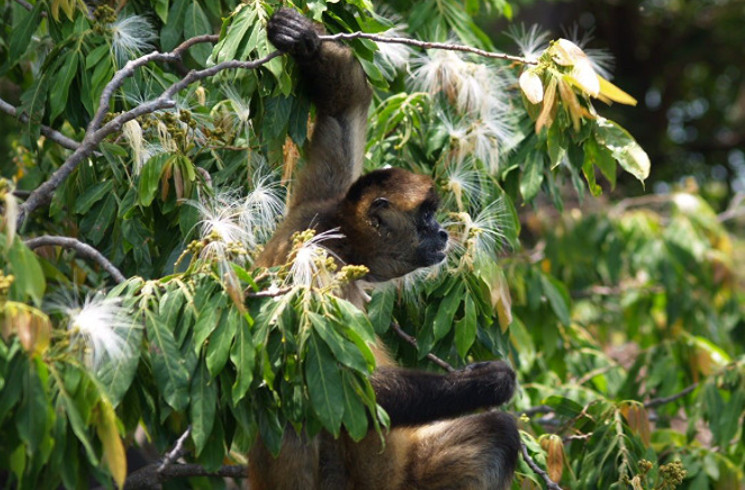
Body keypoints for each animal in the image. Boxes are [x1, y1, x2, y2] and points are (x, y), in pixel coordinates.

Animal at [250, 8, 516, 490]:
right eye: (426, 217)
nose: (443, 235)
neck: (336, 234)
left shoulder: (318, 201)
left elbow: (343, 109)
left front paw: (301, 39)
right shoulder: (318, 261)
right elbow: (353, 387)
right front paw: (490, 380)